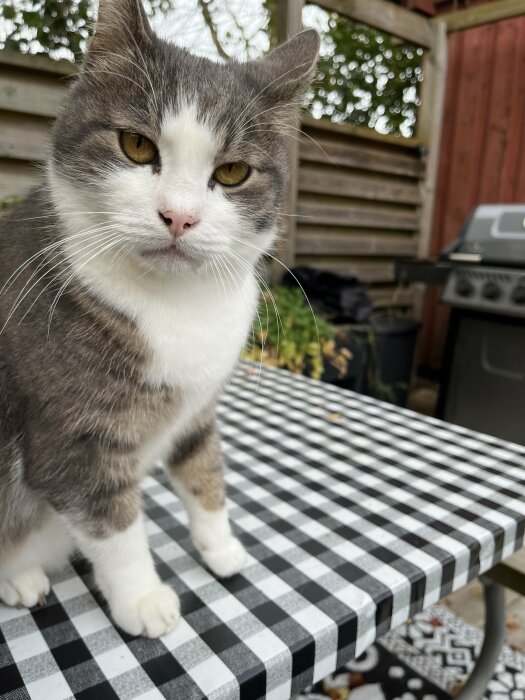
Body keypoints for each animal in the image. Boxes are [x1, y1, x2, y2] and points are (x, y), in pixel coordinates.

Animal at [0, 0, 320, 636]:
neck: (176, 304)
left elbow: (204, 466)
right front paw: (143, 599)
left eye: (232, 172)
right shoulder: (72, 437)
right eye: (136, 146)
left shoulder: (197, 405)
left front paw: (220, 546)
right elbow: (113, 523)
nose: (179, 216)